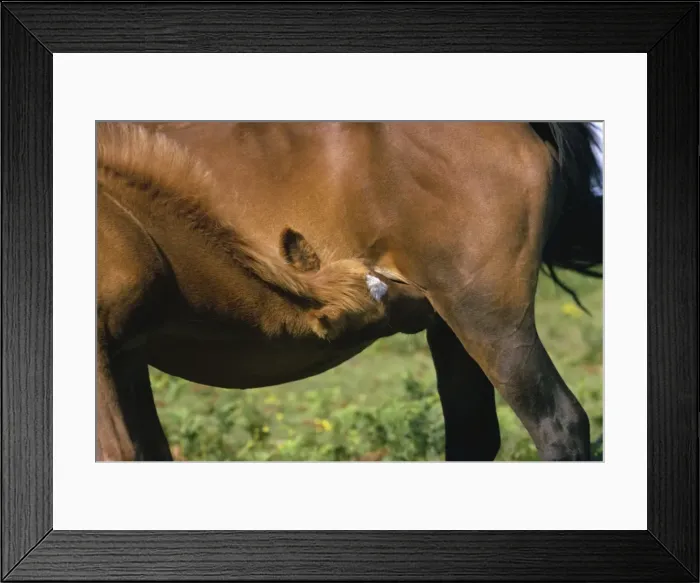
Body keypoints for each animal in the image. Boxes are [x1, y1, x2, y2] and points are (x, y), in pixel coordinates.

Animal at [97, 121, 602, 462]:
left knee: (558, 423)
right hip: (452, 326)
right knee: (473, 433)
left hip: (487, 320)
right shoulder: (125, 352)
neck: (129, 217)